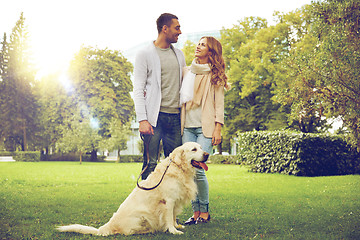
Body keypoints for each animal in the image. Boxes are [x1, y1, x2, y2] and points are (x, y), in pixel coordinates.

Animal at [56, 142, 208, 235]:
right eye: (194, 149)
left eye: (201, 147)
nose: (206, 154)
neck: (179, 168)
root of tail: (106, 226)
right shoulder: (169, 201)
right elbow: (169, 218)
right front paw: (173, 231)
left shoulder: (175, 201)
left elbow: (174, 216)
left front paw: (177, 226)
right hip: (141, 217)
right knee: (128, 232)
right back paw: (149, 230)